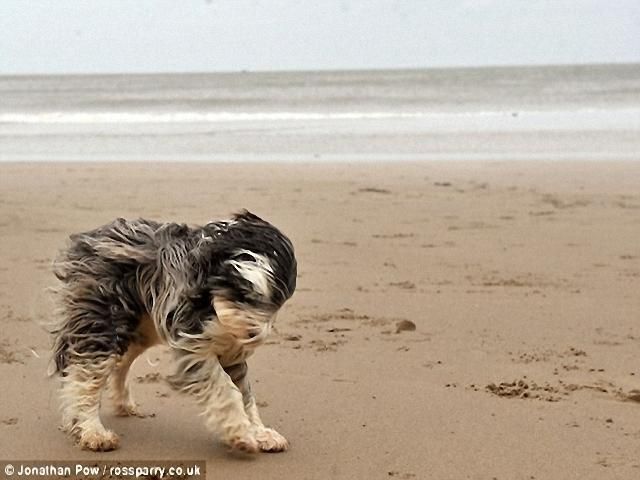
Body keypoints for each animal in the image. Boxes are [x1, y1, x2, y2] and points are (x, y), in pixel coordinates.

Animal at [50, 211, 298, 454]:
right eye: (243, 293)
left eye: (276, 303)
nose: (253, 336)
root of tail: (94, 237)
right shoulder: (194, 345)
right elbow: (225, 389)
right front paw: (241, 433)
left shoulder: (231, 352)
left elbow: (245, 393)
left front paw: (260, 432)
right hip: (102, 320)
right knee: (87, 374)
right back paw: (93, 431)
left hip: (142, 329)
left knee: (121, 363)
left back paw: (123, 404)